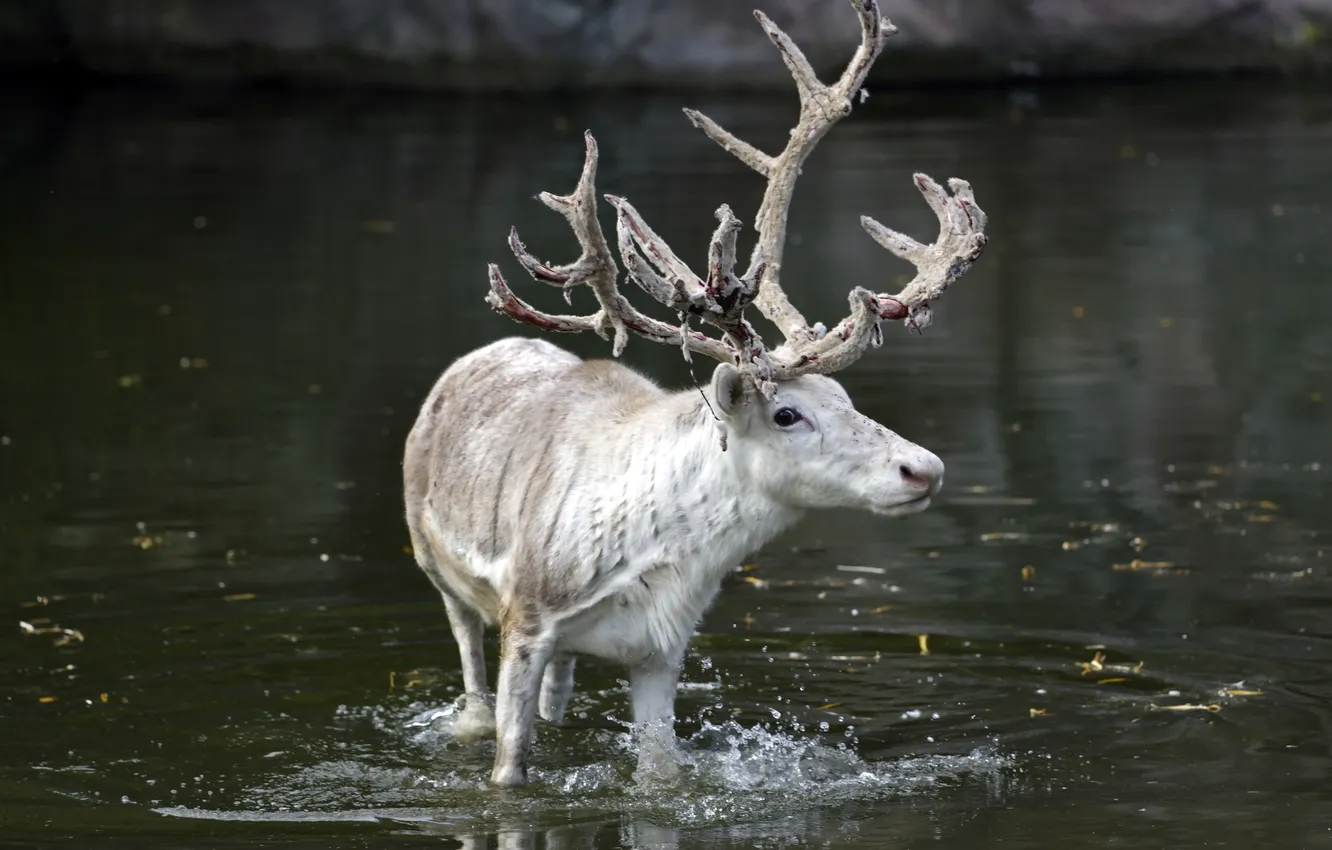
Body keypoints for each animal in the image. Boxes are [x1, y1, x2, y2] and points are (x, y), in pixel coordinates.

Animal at [402, 0, 988, 788]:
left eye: (844, 395)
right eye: (787, 412)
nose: (923, 467)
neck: (655, 558)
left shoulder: (661, 650)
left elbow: (662, 776)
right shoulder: (527, 615)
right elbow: (508, 767)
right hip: (437, 568)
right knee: (467, 668)